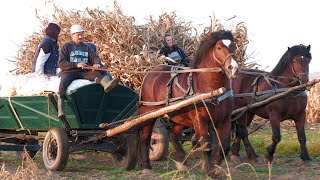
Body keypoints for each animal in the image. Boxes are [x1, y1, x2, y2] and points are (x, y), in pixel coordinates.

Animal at [136, 30, 239, 176]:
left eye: (234, 46)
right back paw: (146, 166)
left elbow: (224, 147)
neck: (212, 89)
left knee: (173, 134)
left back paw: (182, 161)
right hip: (148, 114)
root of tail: (150, 73)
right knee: (145, 137)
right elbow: (206, 145)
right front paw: (209, 170)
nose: (233, 68)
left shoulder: (224, 120)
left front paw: (215, 167)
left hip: (179, 116)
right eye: (219, 48)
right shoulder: (200, 121)